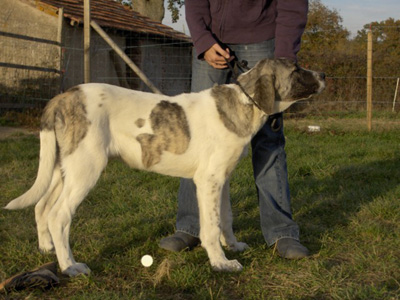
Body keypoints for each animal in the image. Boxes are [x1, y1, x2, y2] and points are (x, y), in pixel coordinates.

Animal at [5, 59, 324, 276]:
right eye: (296, 69)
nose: (323, 75)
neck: (244, 103)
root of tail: (62, 96)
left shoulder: (222, 179)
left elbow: (225, 217)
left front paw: (232, 246)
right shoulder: (208, 180)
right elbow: (210, 226)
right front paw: (221, 262)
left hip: (63, 168)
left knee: (42, 207)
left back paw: (47, 249)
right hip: (85, 168)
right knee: (59, 215)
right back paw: (70, 266)